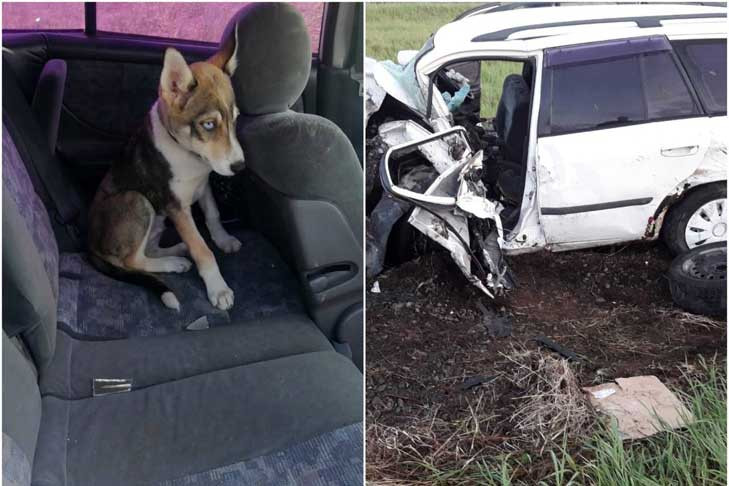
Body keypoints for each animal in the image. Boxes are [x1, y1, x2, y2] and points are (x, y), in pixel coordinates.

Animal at [86, 39, 243, 310]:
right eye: (209, 124)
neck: (186, 151)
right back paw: (174, 262)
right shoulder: (176, 206)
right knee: (131, 261)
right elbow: (202, 249)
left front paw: (223, 239)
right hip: (137, 200)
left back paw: (178, 250)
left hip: (157, 220)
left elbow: (213, 214)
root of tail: (89, 244)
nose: (240, 166)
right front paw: (218, 289)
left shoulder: (203, 184)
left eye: (235, 120)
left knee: (146, 250)